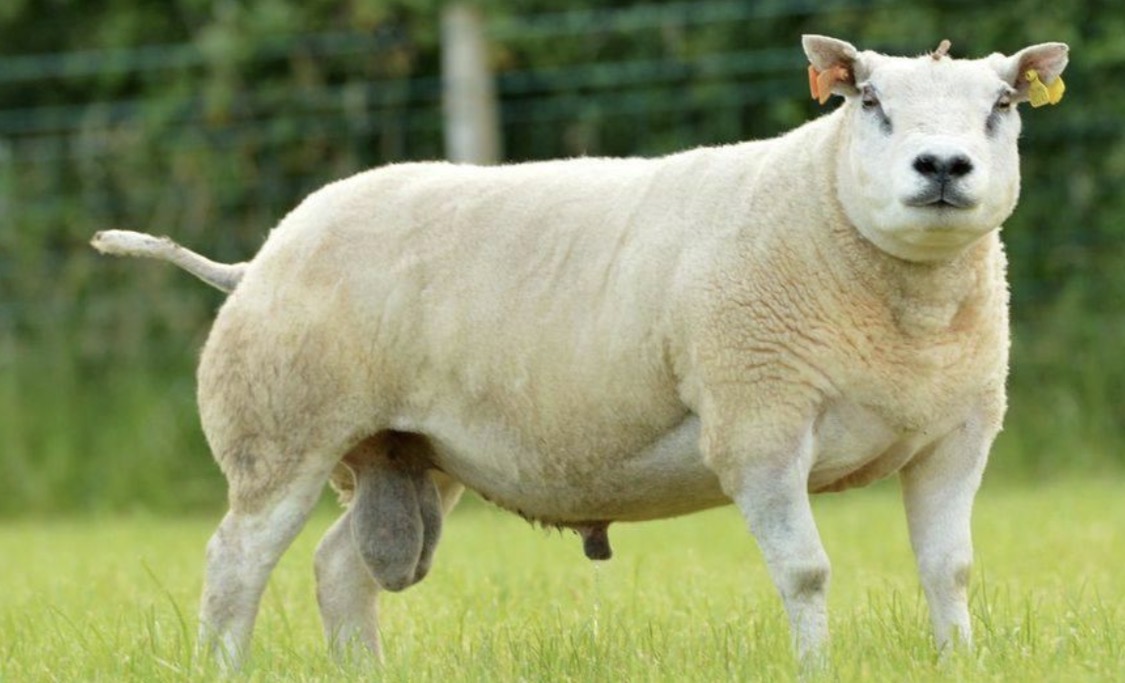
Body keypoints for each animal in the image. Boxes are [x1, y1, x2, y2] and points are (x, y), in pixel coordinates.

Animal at [92, 34, 1069, 669]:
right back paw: (223, 660)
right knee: (233, 566)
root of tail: (259, 254)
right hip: (281, 429)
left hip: (403, 448)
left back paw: (362, 668)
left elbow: (949, 568)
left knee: (338, 570)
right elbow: (805, 571)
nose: (940, 168)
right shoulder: (757, 422)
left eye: (1001, 105)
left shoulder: (958, 432)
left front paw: (958, 661)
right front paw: (815, 668)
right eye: (869, 102)